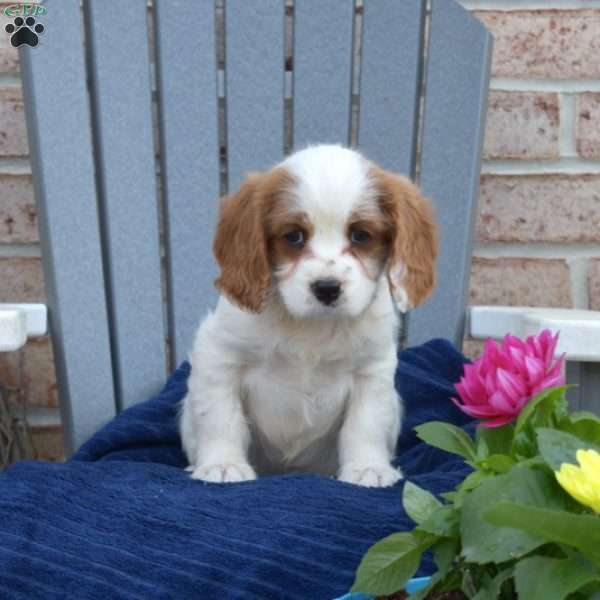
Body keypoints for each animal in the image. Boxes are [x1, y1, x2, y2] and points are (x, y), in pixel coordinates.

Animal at [178, 144, 436, 488]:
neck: (312, 327)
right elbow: (221, 416)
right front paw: (222, 464)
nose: (327, 288)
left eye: (360, 235)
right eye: (294, 236)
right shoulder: (220, 357)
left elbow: (365, 424)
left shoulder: (371, 371)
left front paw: (367, 468)